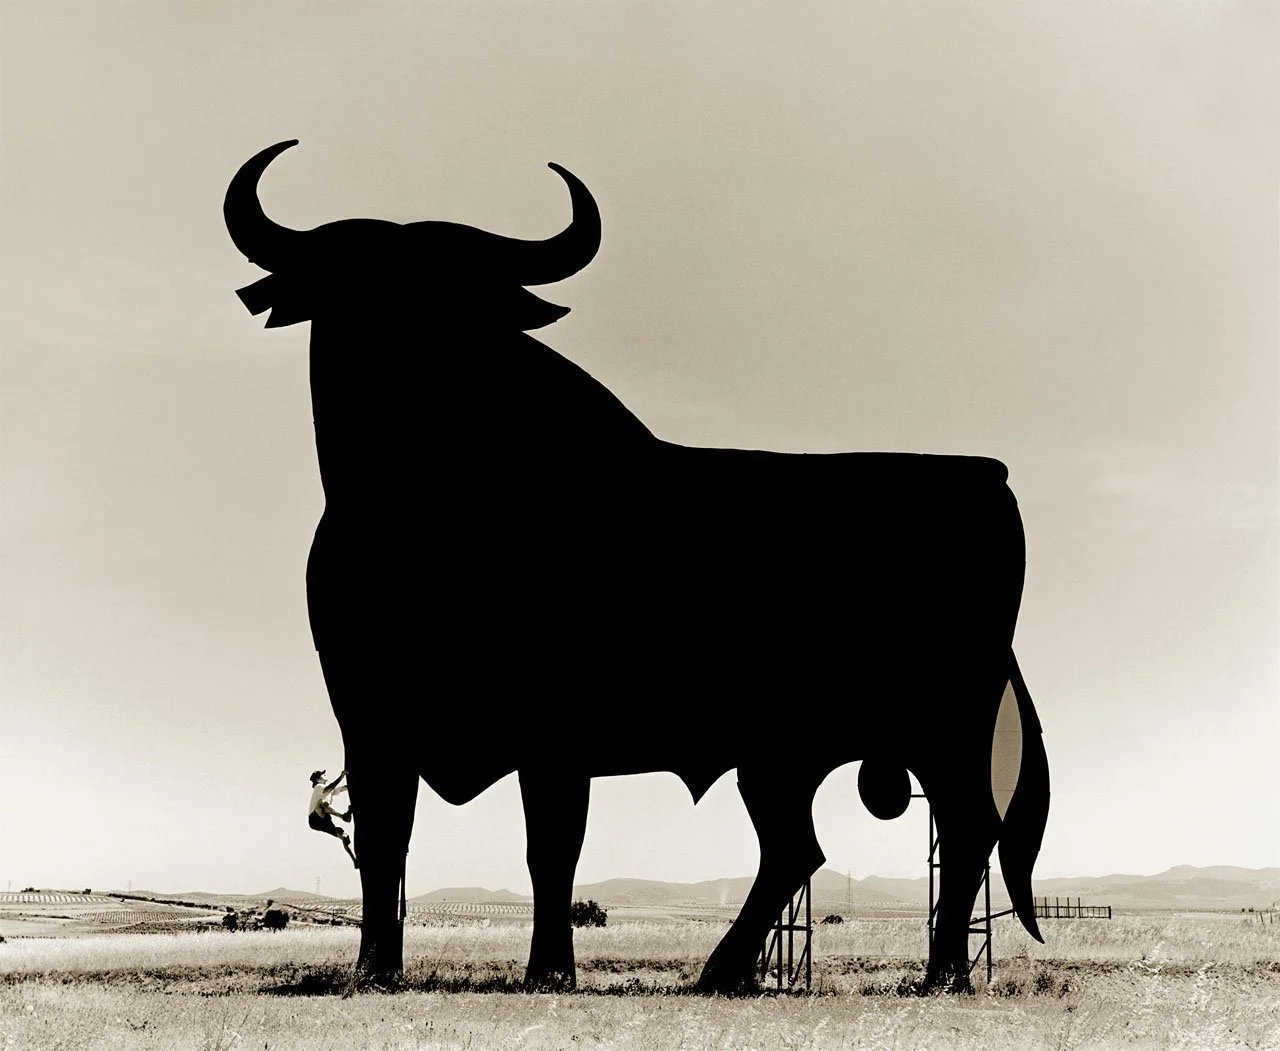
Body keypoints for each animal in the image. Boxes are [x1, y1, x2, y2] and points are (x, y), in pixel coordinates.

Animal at [225, 140, 1050, 995]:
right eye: (349, 288)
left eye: (464, 297)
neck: (425, 506)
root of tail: (988, 478)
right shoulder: (371, 718)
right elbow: (387, 841)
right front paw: (375, 970)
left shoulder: (555, 725)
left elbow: (551, 847)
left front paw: (549, 971)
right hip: (784, 754)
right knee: (798, 845)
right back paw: (726, 970)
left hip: (944, 725)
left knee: (963, 829)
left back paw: (941, 973)